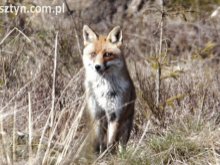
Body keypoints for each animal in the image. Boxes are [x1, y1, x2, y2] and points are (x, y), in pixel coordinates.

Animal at [82, 24, 136, 153]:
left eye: (107, 54)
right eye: (93, 54)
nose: (97, 66)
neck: (103, 89)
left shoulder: (115, 115)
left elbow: (111, 142)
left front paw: (108, 154)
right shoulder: (97, 115)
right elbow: (100, 141)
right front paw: (100, 154)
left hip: (126, 126)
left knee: (121, 144)